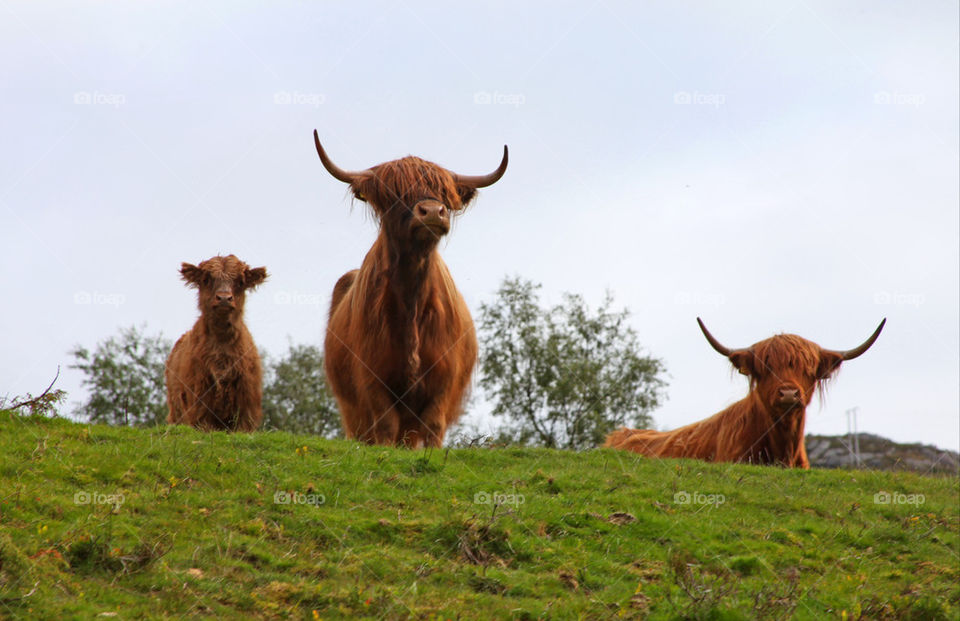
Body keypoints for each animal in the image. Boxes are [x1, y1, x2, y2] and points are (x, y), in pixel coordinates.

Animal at [316, 130, 510, 446]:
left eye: (444, 193)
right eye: (396, 192)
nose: (432, 211)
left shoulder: (444, 379)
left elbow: (432, 425)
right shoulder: (373, 379)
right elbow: (385, 425)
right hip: (352, 411)